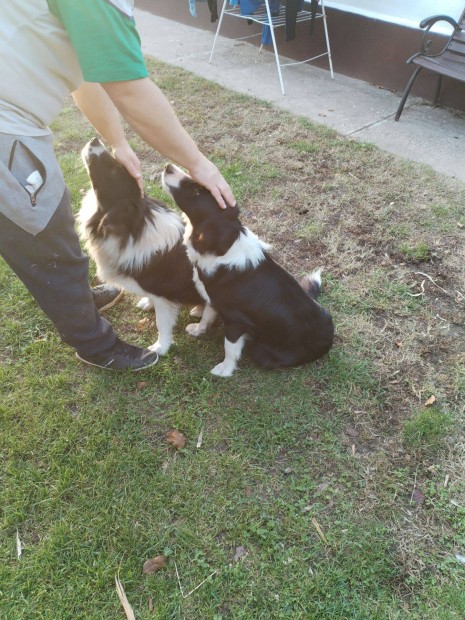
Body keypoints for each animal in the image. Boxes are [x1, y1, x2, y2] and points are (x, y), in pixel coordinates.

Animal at [79, 139, 217, 356]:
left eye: (113, 169)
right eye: (119, 165)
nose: (95, 140)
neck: (132, 229)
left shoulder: (163, 295)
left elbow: (162, 323)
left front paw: (160, 347)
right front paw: (147, 303)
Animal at [161, 163, 332, 378]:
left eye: (195, 191)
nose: (168, 166)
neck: (223, 248)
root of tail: (330, 337)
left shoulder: (236, 321)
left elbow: (230, 347)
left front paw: (224, 369)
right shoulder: (215, 299)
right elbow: (207, 316)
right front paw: (198, 330)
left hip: (262, 353)